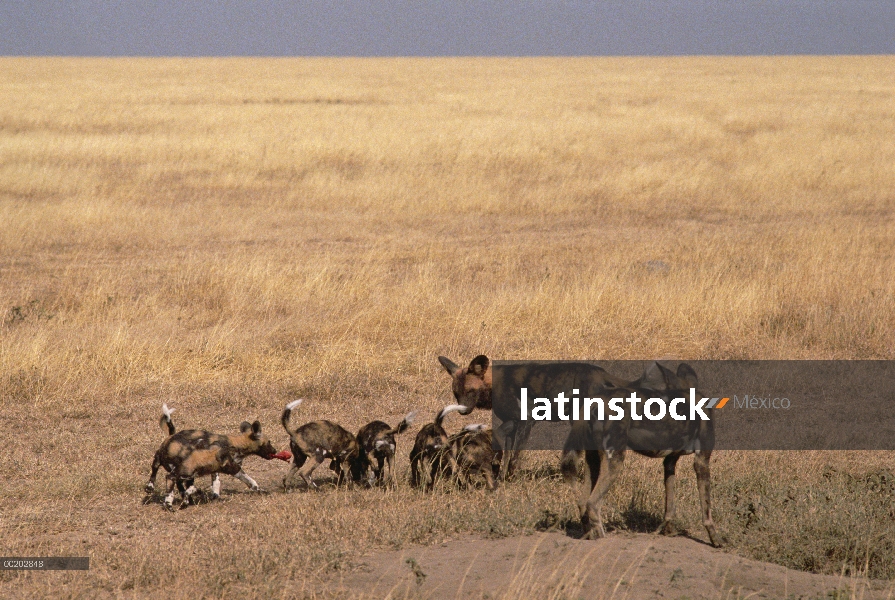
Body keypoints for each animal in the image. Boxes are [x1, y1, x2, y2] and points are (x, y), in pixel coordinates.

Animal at [145, 404, 284, 510]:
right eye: (269, 442)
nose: (275, 450)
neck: (236, 444)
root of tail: (171, 436)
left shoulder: (230, 467)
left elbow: (250, 482)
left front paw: (259, 490)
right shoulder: (224, 465)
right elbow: (221, 482)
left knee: (178, 482)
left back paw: (185, 497)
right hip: (172, 464)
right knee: (156, 469)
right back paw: (152, 487)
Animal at [564, 360, 724, 548]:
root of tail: (597, 400)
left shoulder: (669, 462)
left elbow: (670, 506)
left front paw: (668, 531)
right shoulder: (702, 461)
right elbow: (707, 510)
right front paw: (715, 539)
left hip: (594, 462)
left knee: (582, 502)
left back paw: (587, 536)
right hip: (615, 461)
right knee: (593, 504)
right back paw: (602, 539)